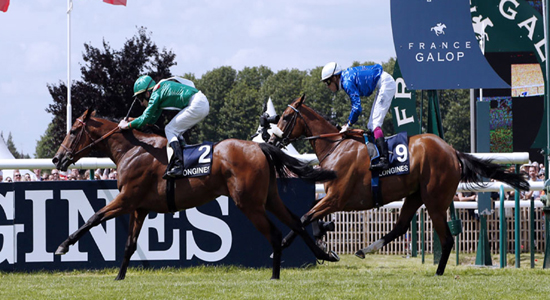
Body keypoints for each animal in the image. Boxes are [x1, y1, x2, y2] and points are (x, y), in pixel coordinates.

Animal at [54, 108, 342, 282]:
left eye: (72, 131)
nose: (57, 159)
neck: (132, 150)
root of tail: (261, 147)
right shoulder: (139, 207)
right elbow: (129, 244)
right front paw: (119, 276)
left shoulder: (126, 200)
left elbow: (94, 217)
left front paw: (63, 245)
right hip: (269, 198)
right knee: (296, 221)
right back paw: (324, 254)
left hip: (249, 203)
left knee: (275, 232)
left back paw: (275, 275)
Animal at [268, 96, 532, 276]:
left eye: (285, 116)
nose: (271, 139)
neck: (336, 147)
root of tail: (452, 151)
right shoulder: (332, 197)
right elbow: (309, 215)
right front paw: (324, 239)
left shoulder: (337, 198)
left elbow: (303, 217)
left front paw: (286, 248)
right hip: (415, 196)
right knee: (400, 227)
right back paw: (364, 250)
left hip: (435, 200)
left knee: (446, 239)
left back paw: (438, 272)